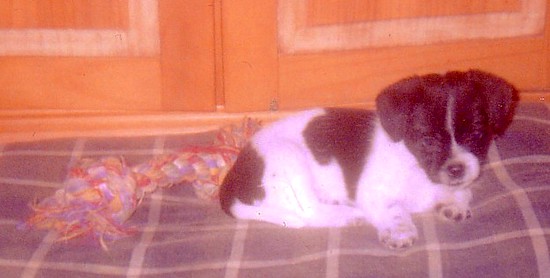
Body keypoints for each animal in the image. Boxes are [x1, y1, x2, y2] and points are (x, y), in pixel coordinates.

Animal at [219, 70, 516, 250]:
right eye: (427, 139)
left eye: (477, 135)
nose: (456, 169)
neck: (416, 166)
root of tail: (234, 176)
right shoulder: (373, 192)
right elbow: (395, 210)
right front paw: (399, 230)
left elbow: (463, 193)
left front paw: (453, 203)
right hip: (288, 157)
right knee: (309, 212)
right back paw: (348, 214)